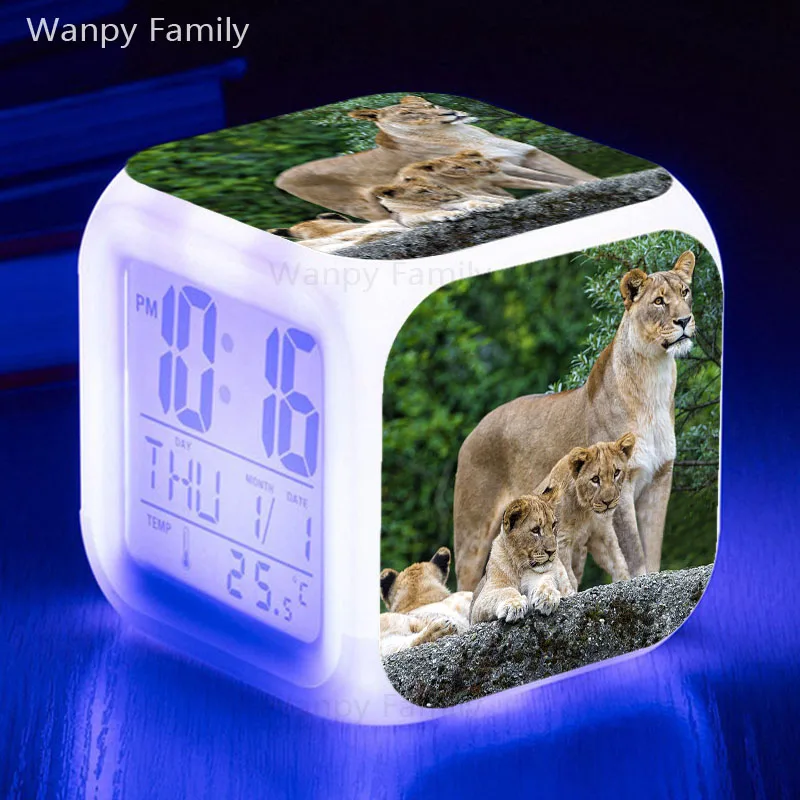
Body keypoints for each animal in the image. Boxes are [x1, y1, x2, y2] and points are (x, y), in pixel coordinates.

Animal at [274, 95, 596, 221]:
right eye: (408, 113)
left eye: (427, 104)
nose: (449, 112)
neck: (461, 133)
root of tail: (280, 177)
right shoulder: (501, 167)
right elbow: (551, 180)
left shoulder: (528, 154)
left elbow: (570, 173)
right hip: (369, 206)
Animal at [470, 493, 573, 625]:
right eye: (535, 530)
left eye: (553, 525)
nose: (552, 551)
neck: (520, 568)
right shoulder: (481, 601)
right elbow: (505, 591)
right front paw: (514, 605)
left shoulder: (541, 575)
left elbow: (545, 581)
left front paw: (546, 596)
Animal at [536, 434, 636, 591]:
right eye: (595, 479)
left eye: (616, 473)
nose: (608, 502)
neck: (586, 511)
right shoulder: (560, 541)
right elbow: (567, 576)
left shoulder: (602, 532)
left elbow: (618, 562)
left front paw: (625, 581)